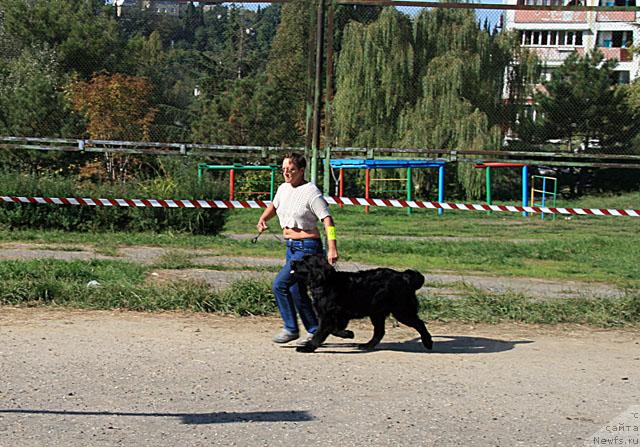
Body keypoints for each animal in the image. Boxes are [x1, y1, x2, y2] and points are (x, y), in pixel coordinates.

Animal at [292, 256, 436, 354]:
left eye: (304, 261)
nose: (292, 262)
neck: (325, 282)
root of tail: (404, 276)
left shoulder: (329, 316)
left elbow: (320, 333)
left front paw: (308, 347)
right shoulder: (339, 316)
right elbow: (334, 330)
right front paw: (348, 334)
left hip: (402, 311)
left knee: (420, 324)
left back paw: (428, 342)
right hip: (377, 313)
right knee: (380, 332)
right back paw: (367, 345)